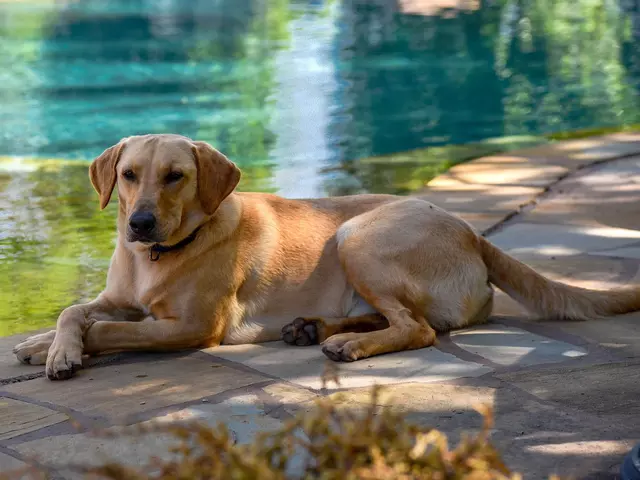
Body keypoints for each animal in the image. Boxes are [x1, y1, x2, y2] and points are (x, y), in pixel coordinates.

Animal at [13, 134, 640, 378]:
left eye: (175, 177)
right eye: (128, 175)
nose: (139, 224)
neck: (157, 259)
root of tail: (470, 230)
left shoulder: (191, 327)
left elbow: (108, 329)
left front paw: (64, 352)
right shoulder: (116, 295)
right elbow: (74, 310)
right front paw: (44, 343)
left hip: (358, 237)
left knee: (417, 328)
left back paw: (347, 345)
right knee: (400, 318)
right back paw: (313, 328)